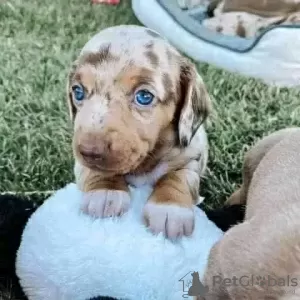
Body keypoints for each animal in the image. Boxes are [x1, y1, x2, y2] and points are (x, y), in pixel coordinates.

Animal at [66, 24, 211, 238]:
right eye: (78, 92)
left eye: (144, 96)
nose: (89, 151)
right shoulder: (81, 163)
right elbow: (97, 171)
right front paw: (105, 191)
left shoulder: (192, 156)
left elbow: (178, 177)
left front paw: (169, 208)